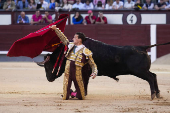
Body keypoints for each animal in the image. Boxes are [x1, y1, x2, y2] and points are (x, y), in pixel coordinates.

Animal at [37, 37, 170, 99]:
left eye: (48, 66)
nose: (49, 79)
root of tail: (142, 47)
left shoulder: (86, 72)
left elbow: (84, 83)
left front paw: (81, 93)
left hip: (139, 71)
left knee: (150, 78)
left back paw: (153, 95)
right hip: (142, 71)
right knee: (154, 75)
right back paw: (158, 94)